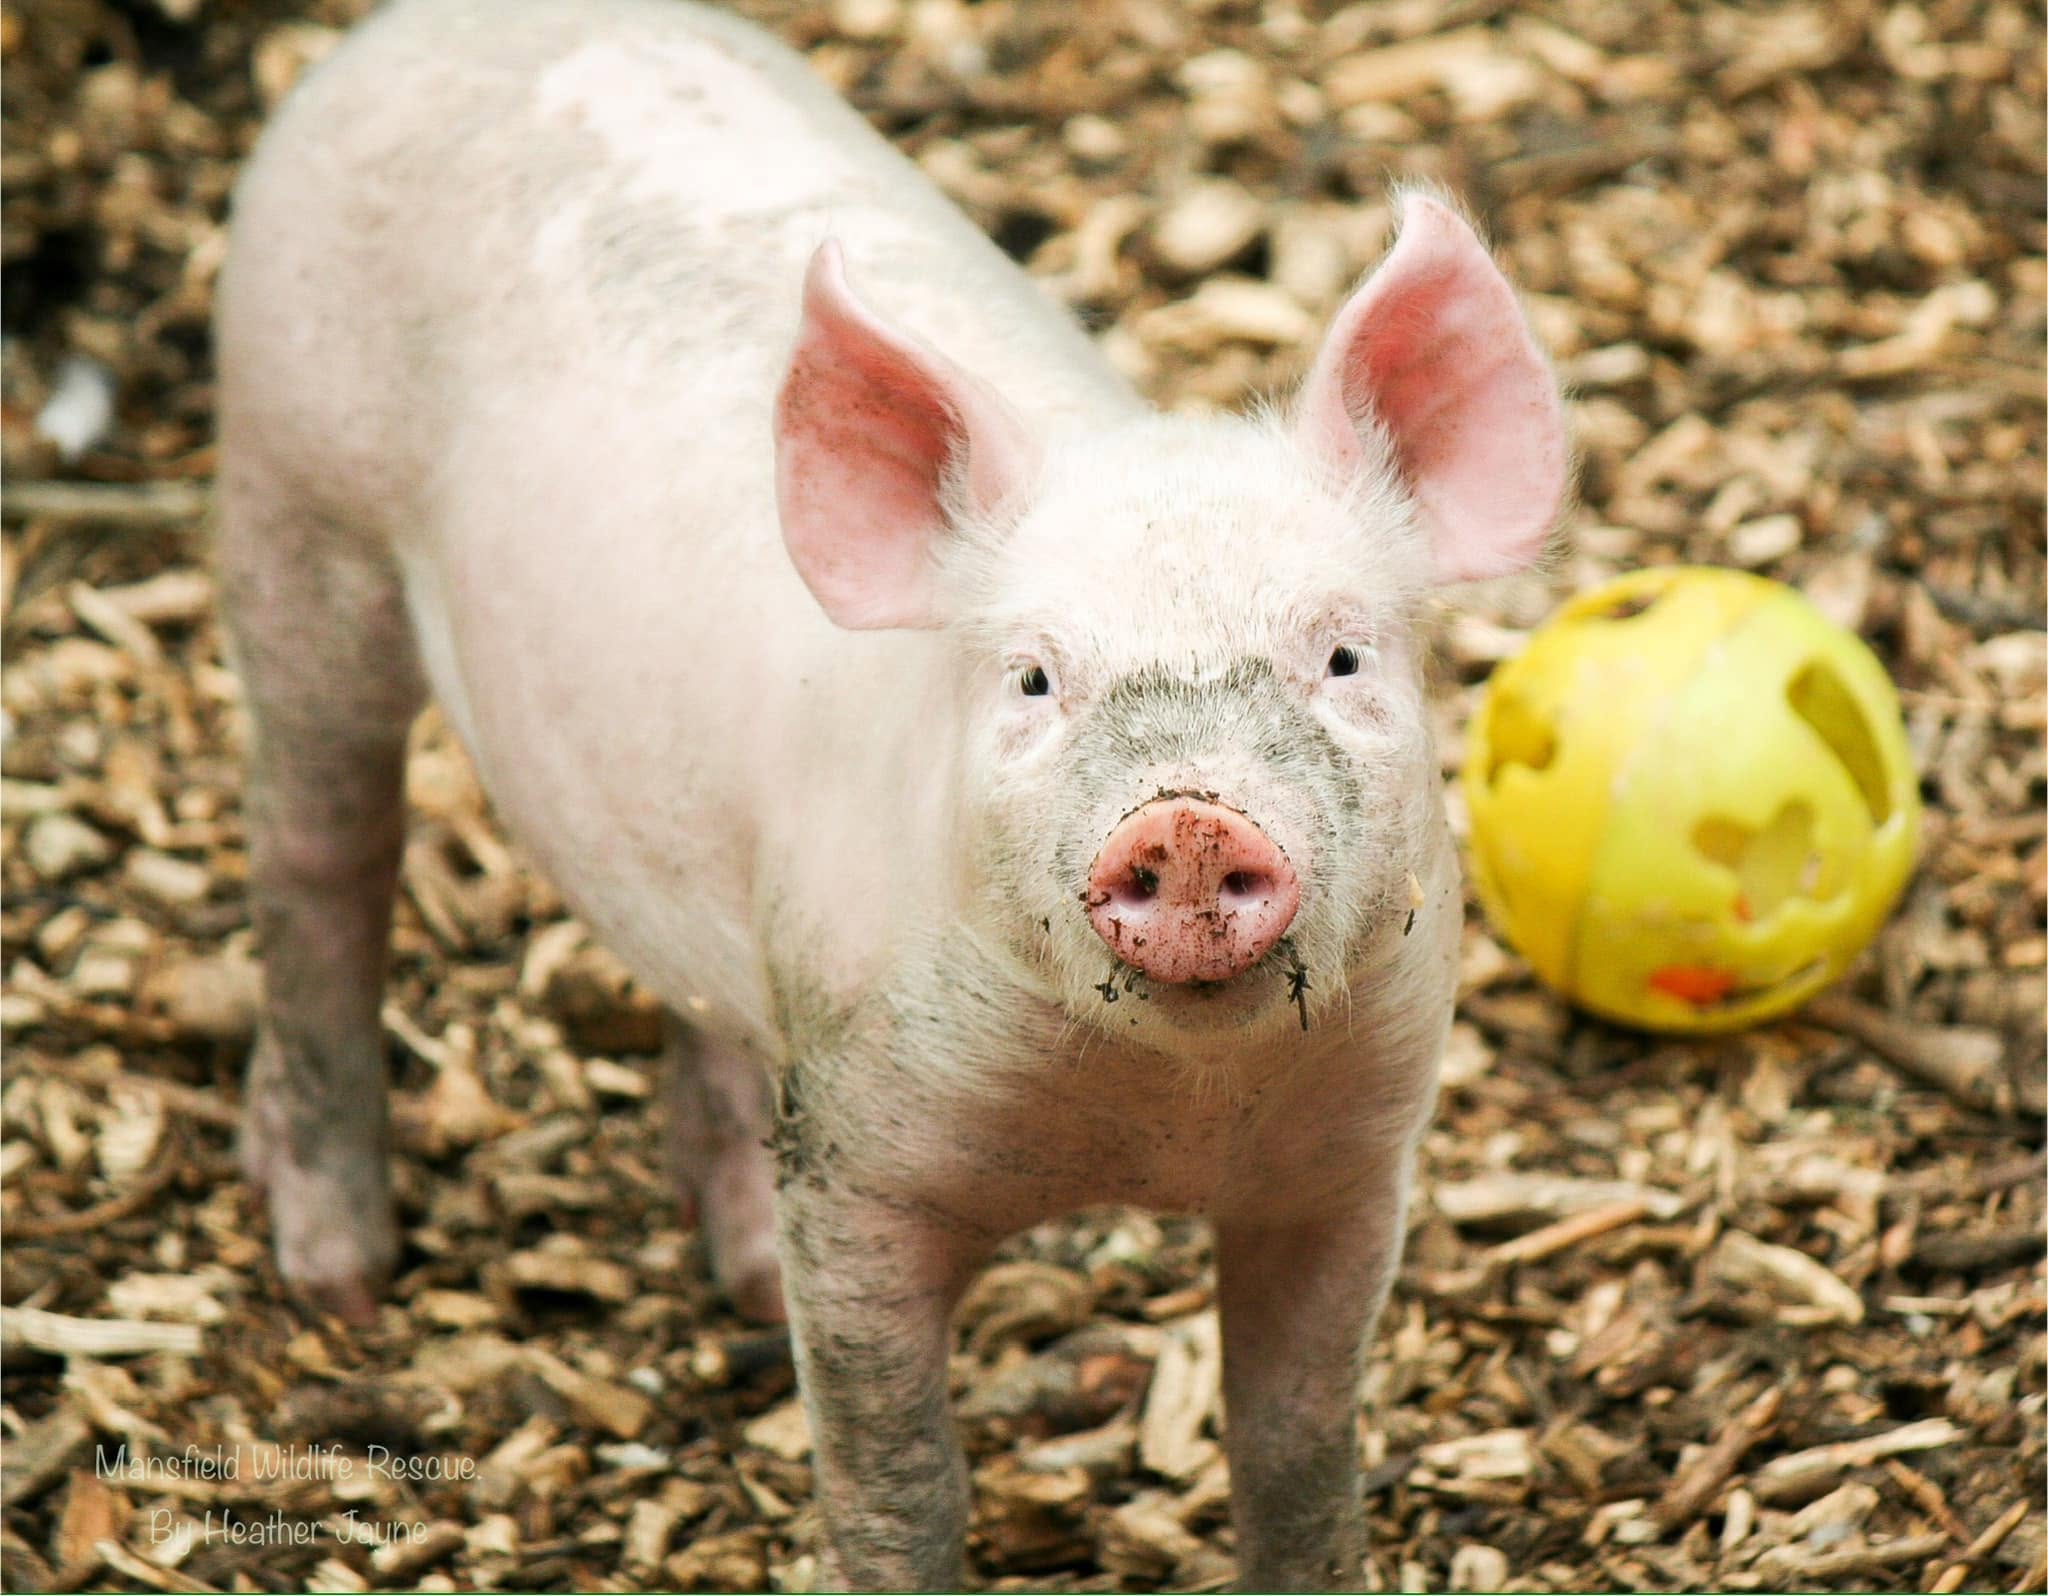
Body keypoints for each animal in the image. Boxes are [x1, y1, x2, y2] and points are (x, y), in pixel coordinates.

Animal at [214, 0, 1567, 1587]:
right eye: (1033, 679)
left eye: (1343, 654)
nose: (1183, 820)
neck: (1156, 1120)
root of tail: (410, 33)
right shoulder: (858, 1158)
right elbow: (892, 1475)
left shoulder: (1354, 1160)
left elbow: (1297, 1452)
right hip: (293, 506)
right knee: (320, 862)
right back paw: (341, 1276)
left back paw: (734, 1276)